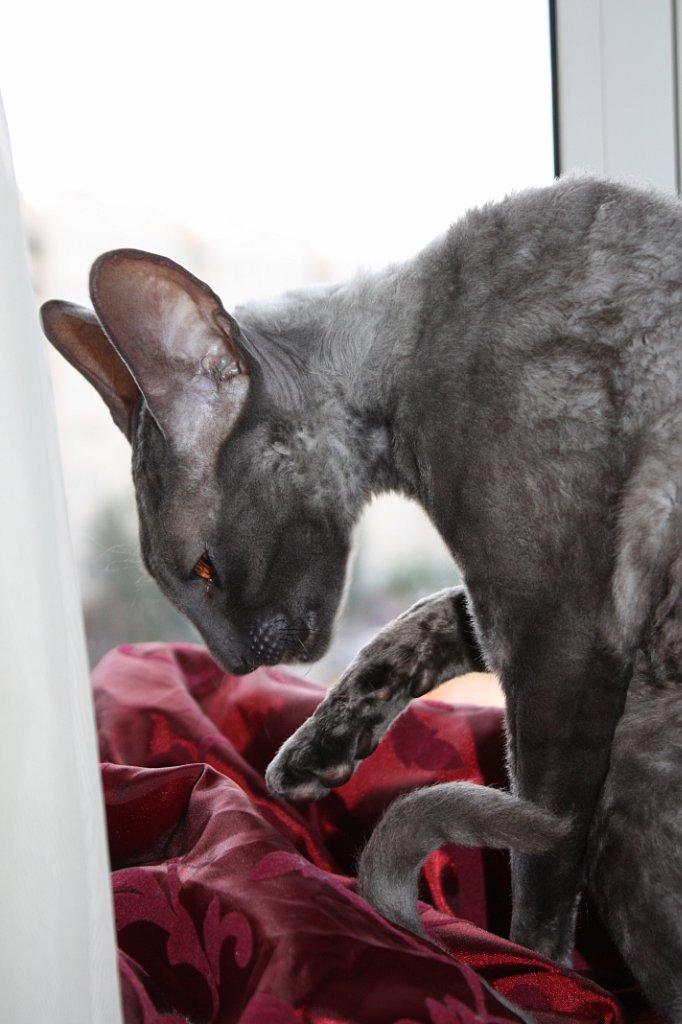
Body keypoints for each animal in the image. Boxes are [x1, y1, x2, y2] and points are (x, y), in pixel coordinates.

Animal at [40, 176, 682, 967]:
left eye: (204, 568)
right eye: (175, 581)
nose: (229, 663)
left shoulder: (557, 639)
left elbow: (539, 856)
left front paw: (529, 966)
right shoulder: (503, 617)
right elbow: (421, 617)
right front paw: (323, 745)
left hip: (633, 746)